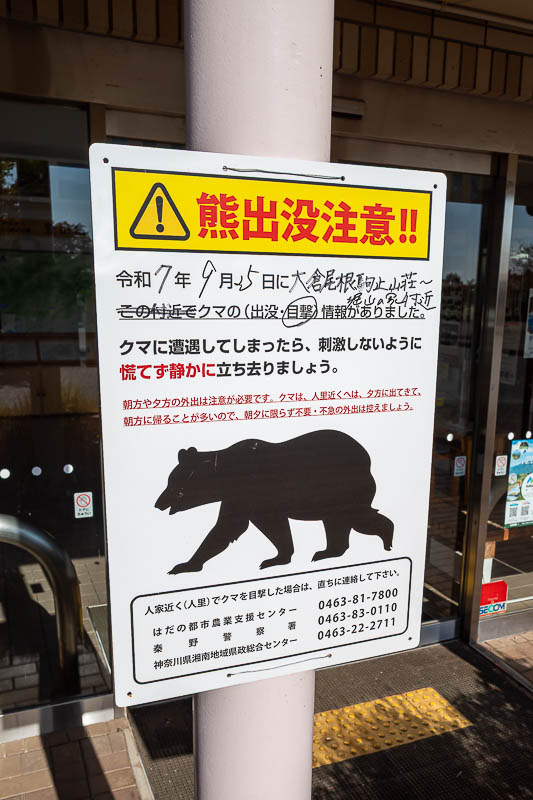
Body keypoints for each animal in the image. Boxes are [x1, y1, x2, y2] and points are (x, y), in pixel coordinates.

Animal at [155, 429, 394, 575]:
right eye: (169, 482)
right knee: (337, 523)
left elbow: (229, 527)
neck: (226, 474)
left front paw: (183, 565)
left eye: (175, 487)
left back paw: (387, 537)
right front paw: (278, 557)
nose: (158, 503)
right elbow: (272, 528)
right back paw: (327, 551)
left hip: (344, 489)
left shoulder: (249, 491)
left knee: (355, 517)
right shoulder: (249, 500)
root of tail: (368, 460)